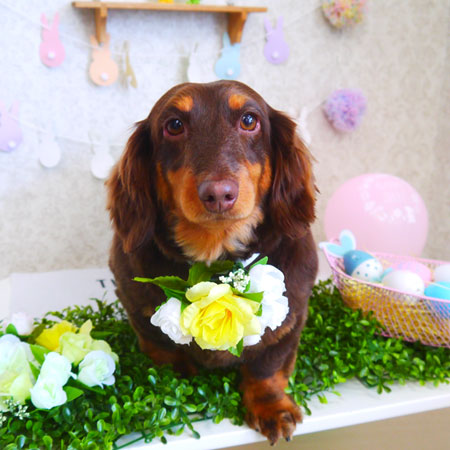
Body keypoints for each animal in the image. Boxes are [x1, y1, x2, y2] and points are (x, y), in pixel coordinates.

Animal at [106, 80, 318, 444]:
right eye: (174, 125)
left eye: (249, 120)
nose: (219, 194)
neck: (215, 254)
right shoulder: (141, 316)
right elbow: (166, 355)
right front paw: (173, 387)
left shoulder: (291, 320)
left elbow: (267, 367)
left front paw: (270, 406)